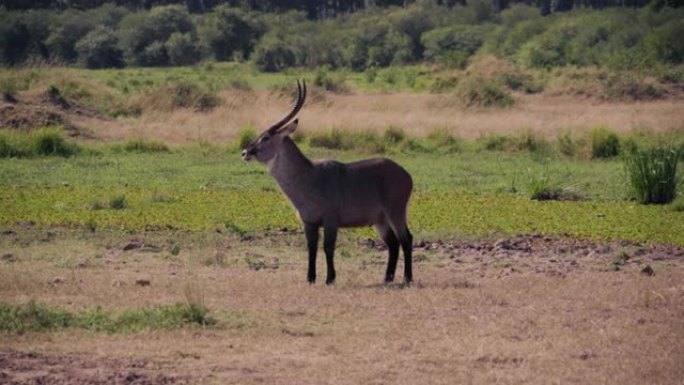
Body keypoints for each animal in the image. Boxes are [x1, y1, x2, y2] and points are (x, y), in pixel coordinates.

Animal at [242, 79, 412, 284]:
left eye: (265, 137)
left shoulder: (331, 221)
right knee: (393, 243)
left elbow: (328, 247)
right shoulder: (309, 223)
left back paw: (407, 278)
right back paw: (387, 278)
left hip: (395, 212)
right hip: (379, 220)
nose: (245, 152)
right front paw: (310, 278)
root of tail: (406, 174)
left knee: (406, 239)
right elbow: (311, 248)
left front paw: (330, 278)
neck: (309, 176)